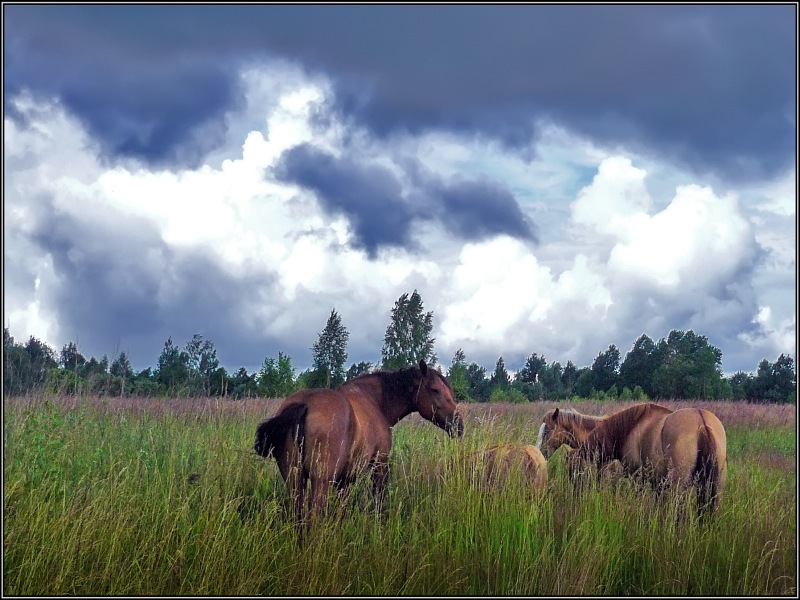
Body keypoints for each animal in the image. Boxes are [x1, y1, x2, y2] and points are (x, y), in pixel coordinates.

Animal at [253, 356, 466, 528]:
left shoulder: (346, 479)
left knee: (298, 516)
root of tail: (304, 404)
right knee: (312, 517)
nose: (459, 425)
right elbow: (378, 502)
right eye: (435, 390)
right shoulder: (379, 464)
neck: (376, 402)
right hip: (320, 481)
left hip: (294, 478)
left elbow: (341, 511)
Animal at [536, 404, 728, 516]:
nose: (539, 454)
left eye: (547, 430)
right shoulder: (657, 484)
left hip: (678, 486)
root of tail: (701, 422)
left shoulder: (634, 479)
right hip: (711, 487)